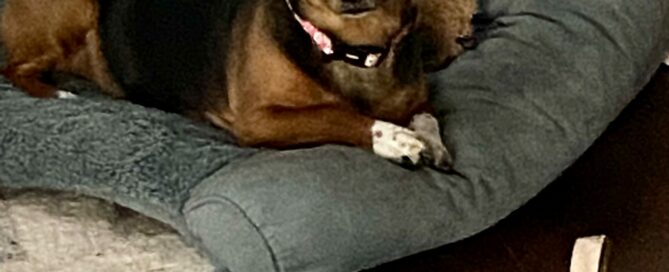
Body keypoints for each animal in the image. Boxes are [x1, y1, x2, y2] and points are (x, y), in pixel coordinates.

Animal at [2, 0, 478, 169]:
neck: (352, 48)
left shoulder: (416, 96)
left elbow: (427, 115)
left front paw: (429, 140)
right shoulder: (259, 121)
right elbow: (339, 113)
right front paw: (396, 140)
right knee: (13, 68)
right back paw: (58, 92)